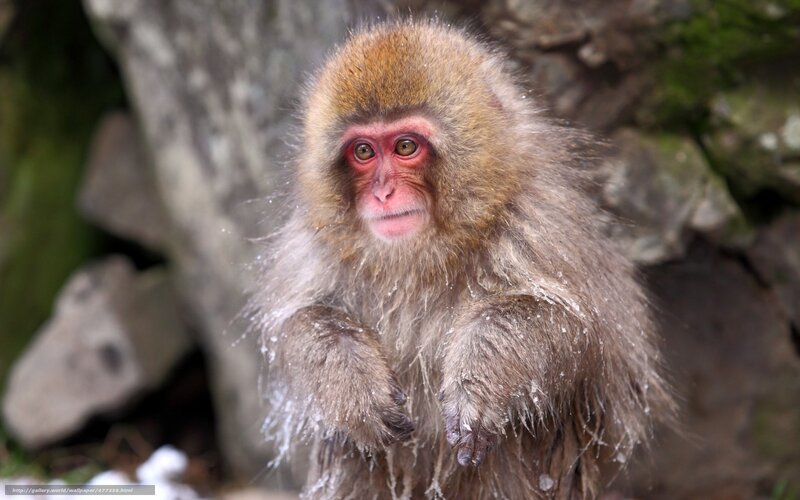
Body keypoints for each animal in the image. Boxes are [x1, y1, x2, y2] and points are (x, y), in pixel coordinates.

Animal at [248, 19, 673, 500]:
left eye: (406, 147)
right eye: (363, 152)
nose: (383, 193)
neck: (424, 255)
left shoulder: (540, 224)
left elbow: (573, 330)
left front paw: (479, 386)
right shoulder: (316, 244)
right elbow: (297, 322)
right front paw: (351, 385)